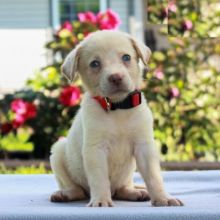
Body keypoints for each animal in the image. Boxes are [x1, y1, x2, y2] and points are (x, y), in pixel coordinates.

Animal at [49, 30, 182, 207]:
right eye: (95, 64)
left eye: (126, 57)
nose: (116, 77)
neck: (118, 108)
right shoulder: (95, 149)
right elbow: (99, 179)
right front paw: (101, 201)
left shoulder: (144, 146)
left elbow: (154, 177)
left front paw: (163, 198)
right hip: (58, 152)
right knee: (76, 189)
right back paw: (65, 194)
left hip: (127, 173)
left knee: (122, 188)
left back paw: (136, 192)